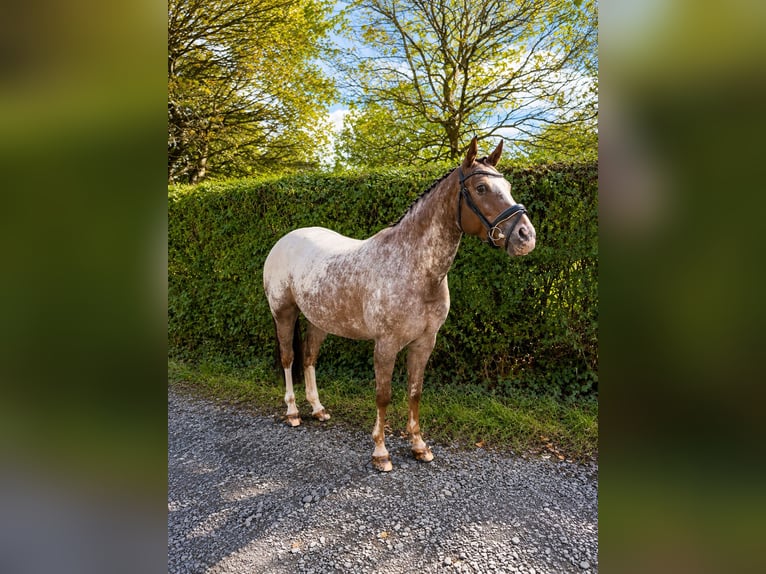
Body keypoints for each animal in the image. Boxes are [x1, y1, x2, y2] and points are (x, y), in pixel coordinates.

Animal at [263, 137, 536, 472]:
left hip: (319, 320)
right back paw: (292, 413)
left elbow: (415, 392)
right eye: (481, 187)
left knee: (310, 358)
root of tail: (285, 240)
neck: (414, 267)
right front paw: (381, 453)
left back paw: (318, 409)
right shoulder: (386, 344)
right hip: (283, 313)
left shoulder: (424, 342)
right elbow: (384, 395)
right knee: (288, 358)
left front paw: (419, 446)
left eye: (507, 186)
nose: (525, 236)